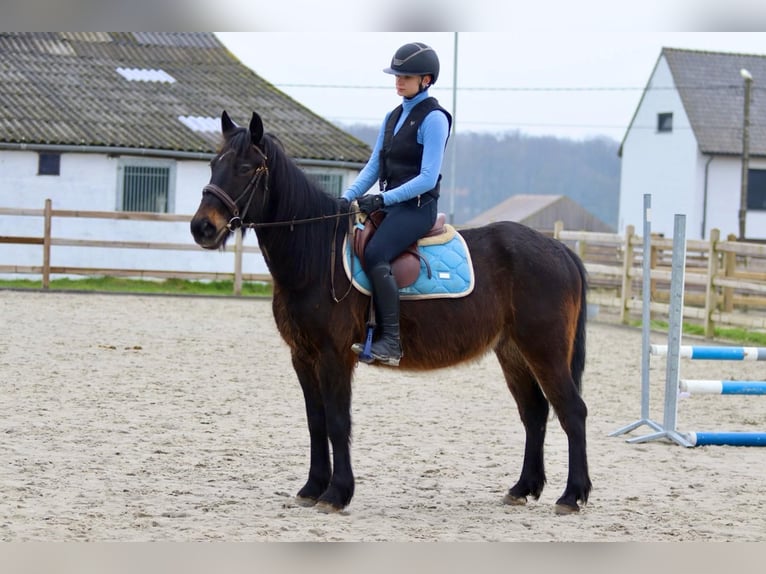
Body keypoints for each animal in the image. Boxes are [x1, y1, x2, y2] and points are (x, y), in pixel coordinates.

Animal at [192, 110, 592, 516]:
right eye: (212, 165)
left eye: (244, 168)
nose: (202, 227)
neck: (316, 257)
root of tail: (560, 251)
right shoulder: (302, 356)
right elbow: (316, 421)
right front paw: (313, 487)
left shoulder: (334, 355)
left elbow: (338, 421)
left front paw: (336, 493)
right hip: (513, 352)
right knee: (534, 413)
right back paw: (523, 487)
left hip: (545, 350)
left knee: (572, 411)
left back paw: (572, 495)